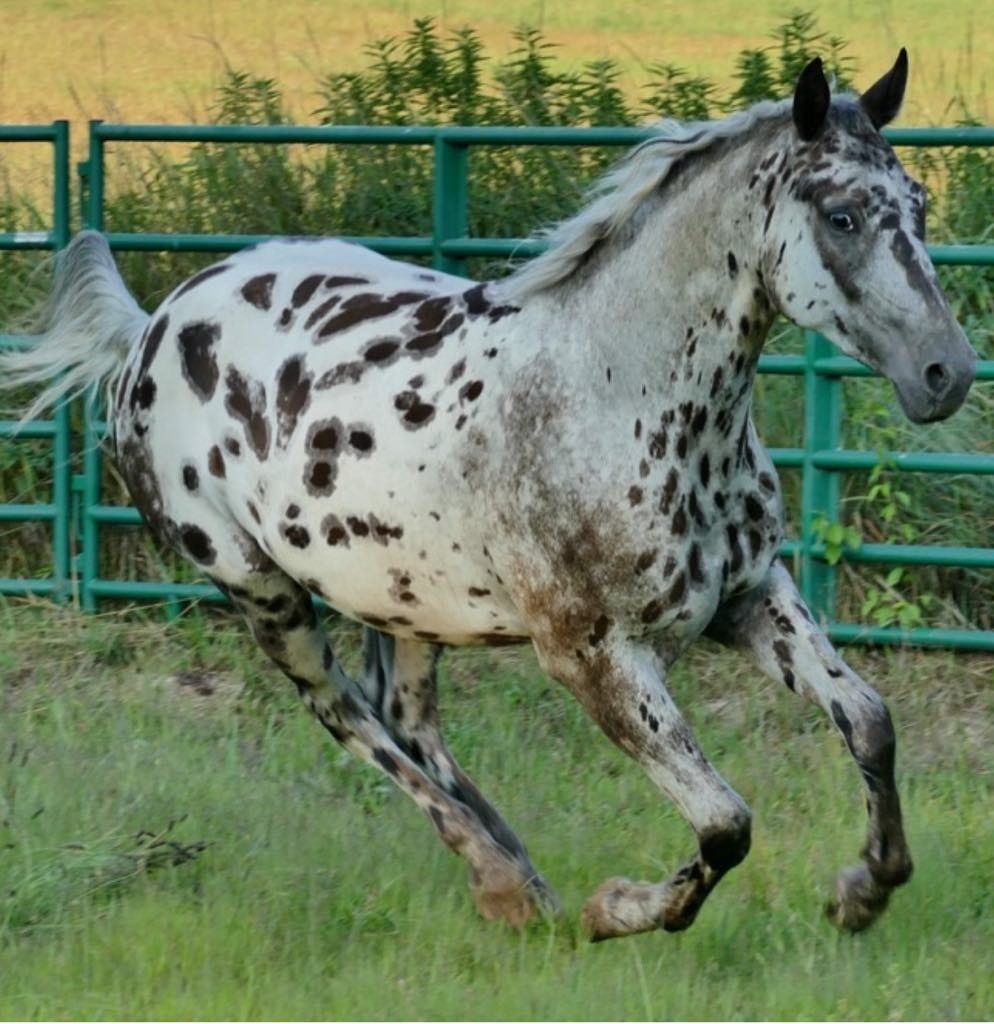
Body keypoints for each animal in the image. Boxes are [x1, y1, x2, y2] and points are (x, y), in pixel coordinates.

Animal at [1, 51, 976, 941]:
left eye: (919, 207)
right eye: (843, 216)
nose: (947, 373)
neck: (611, 392)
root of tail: (152, 327)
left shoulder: (747, 595)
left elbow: (869, 721)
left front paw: (863, 891)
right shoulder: (591, 655)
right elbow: (724, 823)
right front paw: (616, 908)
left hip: (402, 597)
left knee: (406, 718)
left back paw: (519, 870)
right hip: (261, 592)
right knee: (348, 717)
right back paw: (504, 881)